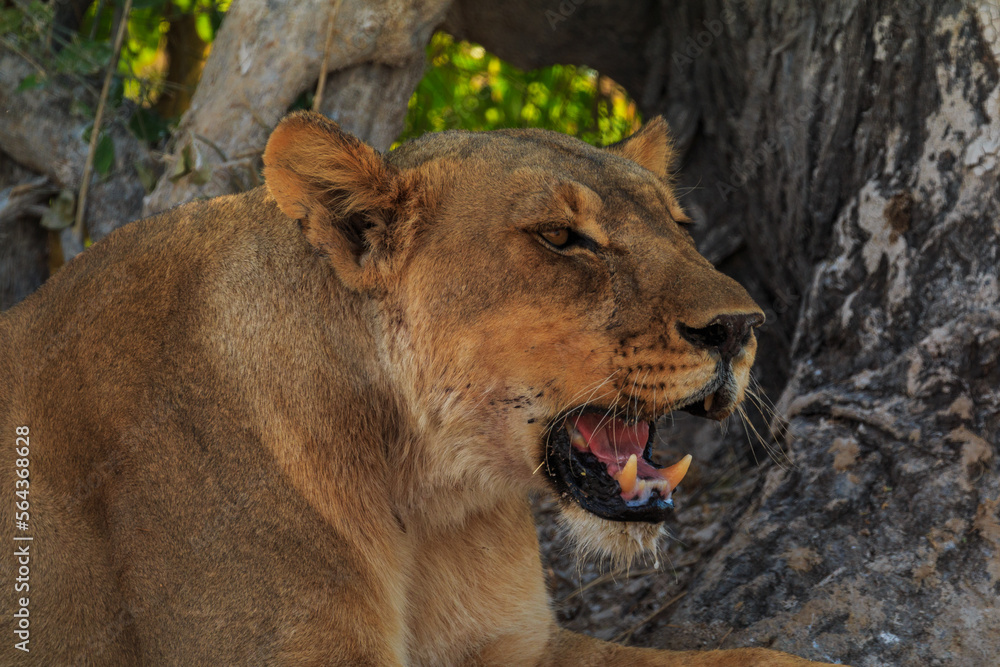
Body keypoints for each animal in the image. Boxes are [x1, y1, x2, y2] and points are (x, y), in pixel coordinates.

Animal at [0, 111, 831, 665]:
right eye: (562, 238)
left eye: (681, 227)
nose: (741, 326)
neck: (426, 494)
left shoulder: (518, 641)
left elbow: (752, 656)